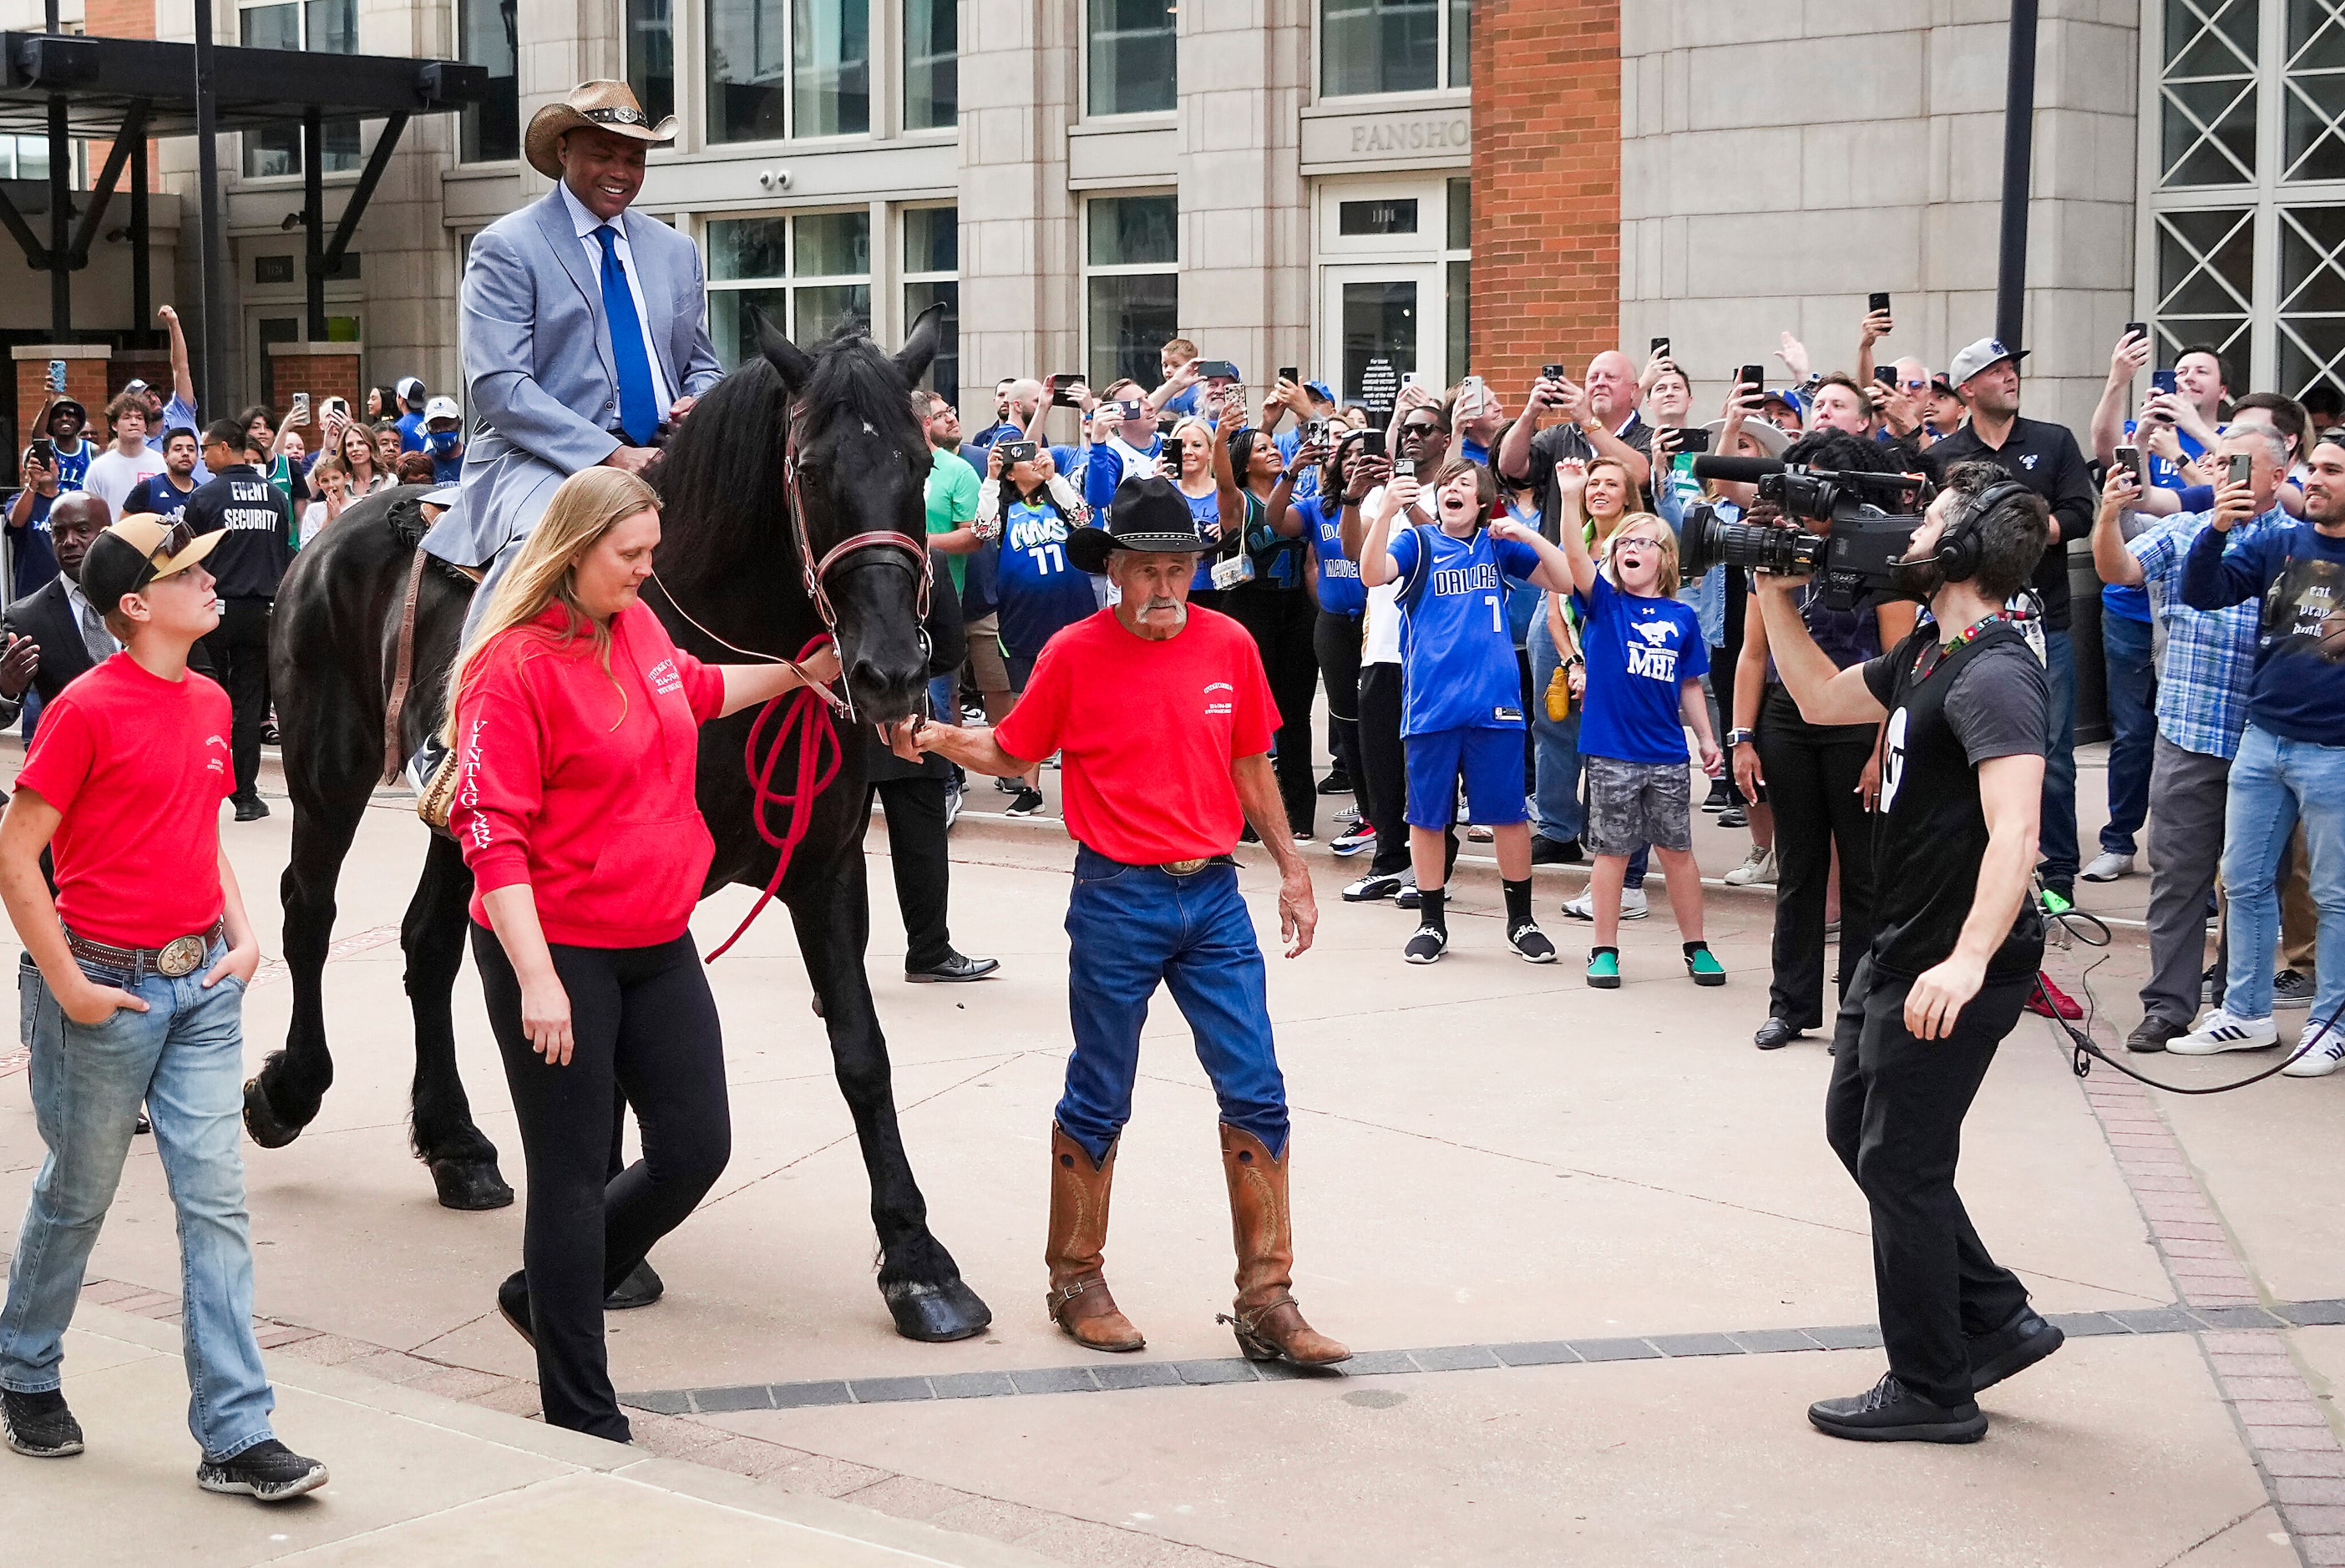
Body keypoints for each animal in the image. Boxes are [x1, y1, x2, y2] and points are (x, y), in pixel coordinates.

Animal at [247, 311, 989, 1340]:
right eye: (808, 469)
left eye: (920, 464)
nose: (891, 670)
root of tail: (337, 526)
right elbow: (592, 1042)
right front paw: (608, 1251)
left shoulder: (828, 870)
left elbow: (861, 1053)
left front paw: (917, 1262)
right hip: (328, 773)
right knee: (309, 915)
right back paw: (290, 1089)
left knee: (426, 943)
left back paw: (456, 1144)